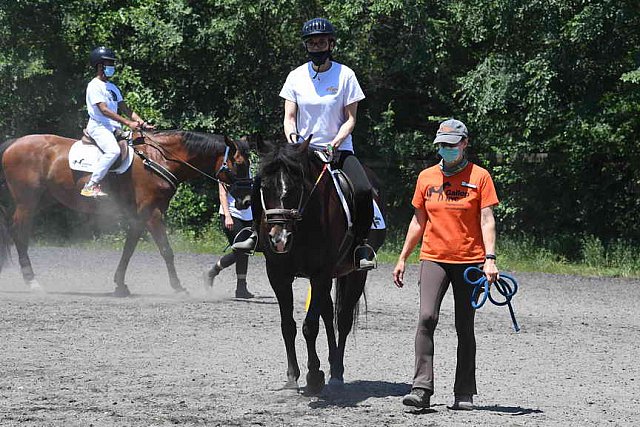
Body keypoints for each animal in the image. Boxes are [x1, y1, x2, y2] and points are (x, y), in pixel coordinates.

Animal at [0, 130, 252, 298]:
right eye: (239, 163)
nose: (247, 200)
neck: (159, 159)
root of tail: (15, 143)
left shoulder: (139, 217)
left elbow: (128, 250)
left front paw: (120, 284)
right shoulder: (152, 214)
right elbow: (166, 250)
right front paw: (178, 287)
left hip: (39, 201)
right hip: (26, 203)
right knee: (19, 236)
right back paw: (32, 282)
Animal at [255, 137, 384, 394]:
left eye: (295, 187)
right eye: (264, 186)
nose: (279, 238)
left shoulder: (320, 274)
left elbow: (310, 326)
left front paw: (314, 375)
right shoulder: (278, 275)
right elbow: (288, 326)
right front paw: (292, 377)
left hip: (354, 274)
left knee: (342, 320)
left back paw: (337, 373)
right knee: (328, 315)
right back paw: (332, 365)